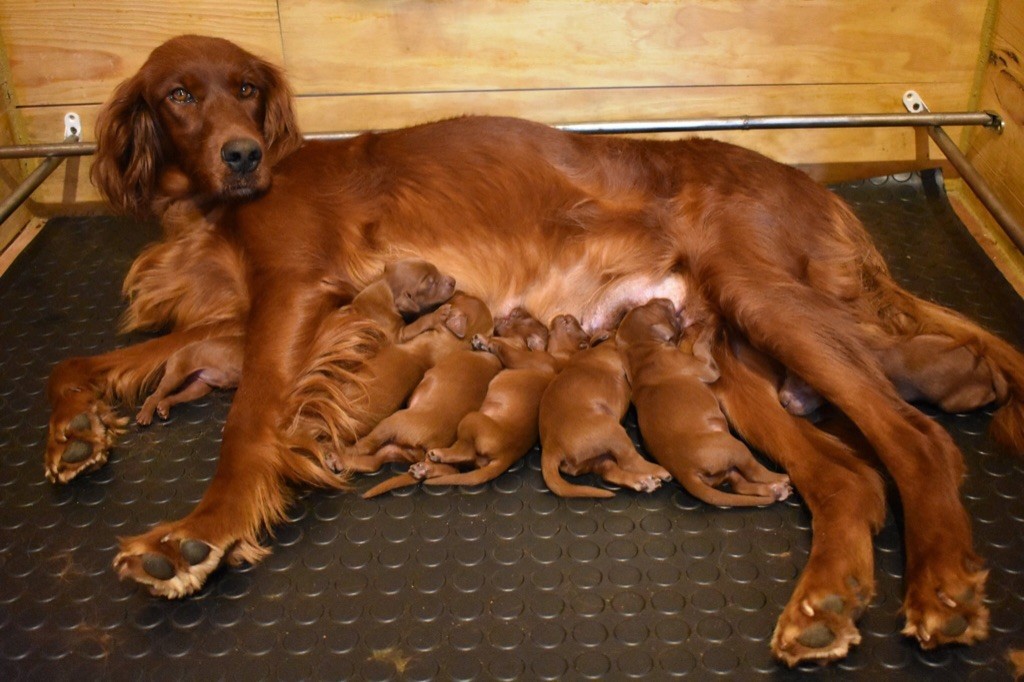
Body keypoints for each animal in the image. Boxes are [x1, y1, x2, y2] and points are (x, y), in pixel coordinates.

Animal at [327, 292, 499, 473]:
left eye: (460, 297)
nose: (457, 291)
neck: (458, 341)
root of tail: (426, 445)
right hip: (394, 449)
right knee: (371, 463)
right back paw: (339, 461)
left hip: (391, 424)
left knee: (365, 446)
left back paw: (338, 453)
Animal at [536, 323, 671, 493]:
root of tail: (551, 448)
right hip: (612, 431)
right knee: (630, 461)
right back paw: (657, 472)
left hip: (597, 458)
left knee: (610, 472)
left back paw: (642, 482)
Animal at [614, 296, 790, 503]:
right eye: (653, 306)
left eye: (647, 305)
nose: (664, 299)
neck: (642, 355)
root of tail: (685, 473)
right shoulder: (705, 367)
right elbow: (700, 345)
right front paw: (709, 326)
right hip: (735, 447)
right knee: (754, 471)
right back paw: (779, 479)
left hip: (726, 470)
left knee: (740, 484)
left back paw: (775, 490)